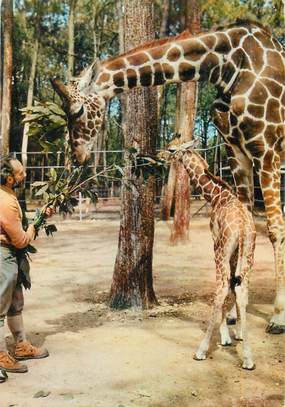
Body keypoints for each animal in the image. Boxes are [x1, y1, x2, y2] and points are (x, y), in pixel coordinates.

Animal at [52, 19, 284, 334]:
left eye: (76, 110)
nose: (77, 156)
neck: (227, 66)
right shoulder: (235, 150)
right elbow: (245, 220)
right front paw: (233, 314)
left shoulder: (266, 149)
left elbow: (275, 228)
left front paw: (277, 316)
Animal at [164, 139, 255, 372]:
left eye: (171, 148)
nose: (160, 154)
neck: (214, 195)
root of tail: (243, 228)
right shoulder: (235, 252)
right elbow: (234, 286)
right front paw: (236, 334)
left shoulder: (215, 241)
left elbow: (225, 287)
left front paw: (225, 337)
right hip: (249, 251)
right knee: (242, 288)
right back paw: (248, 359)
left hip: (222, 250)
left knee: (221, 287)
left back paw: (201, 350)